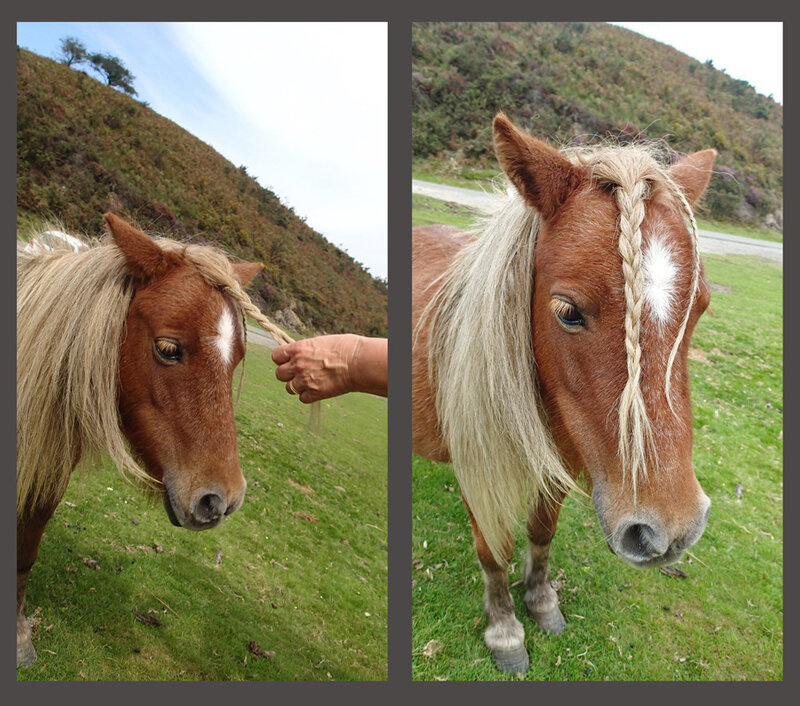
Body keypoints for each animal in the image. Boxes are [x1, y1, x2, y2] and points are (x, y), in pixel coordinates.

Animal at [410, 114, 716, 672]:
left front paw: (541, 601)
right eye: (568, 311)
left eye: (699, 306)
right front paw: (505, 631)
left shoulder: (566, 460)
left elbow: (541, 531)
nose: (672, 531)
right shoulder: (476, 465)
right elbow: (493, 548)